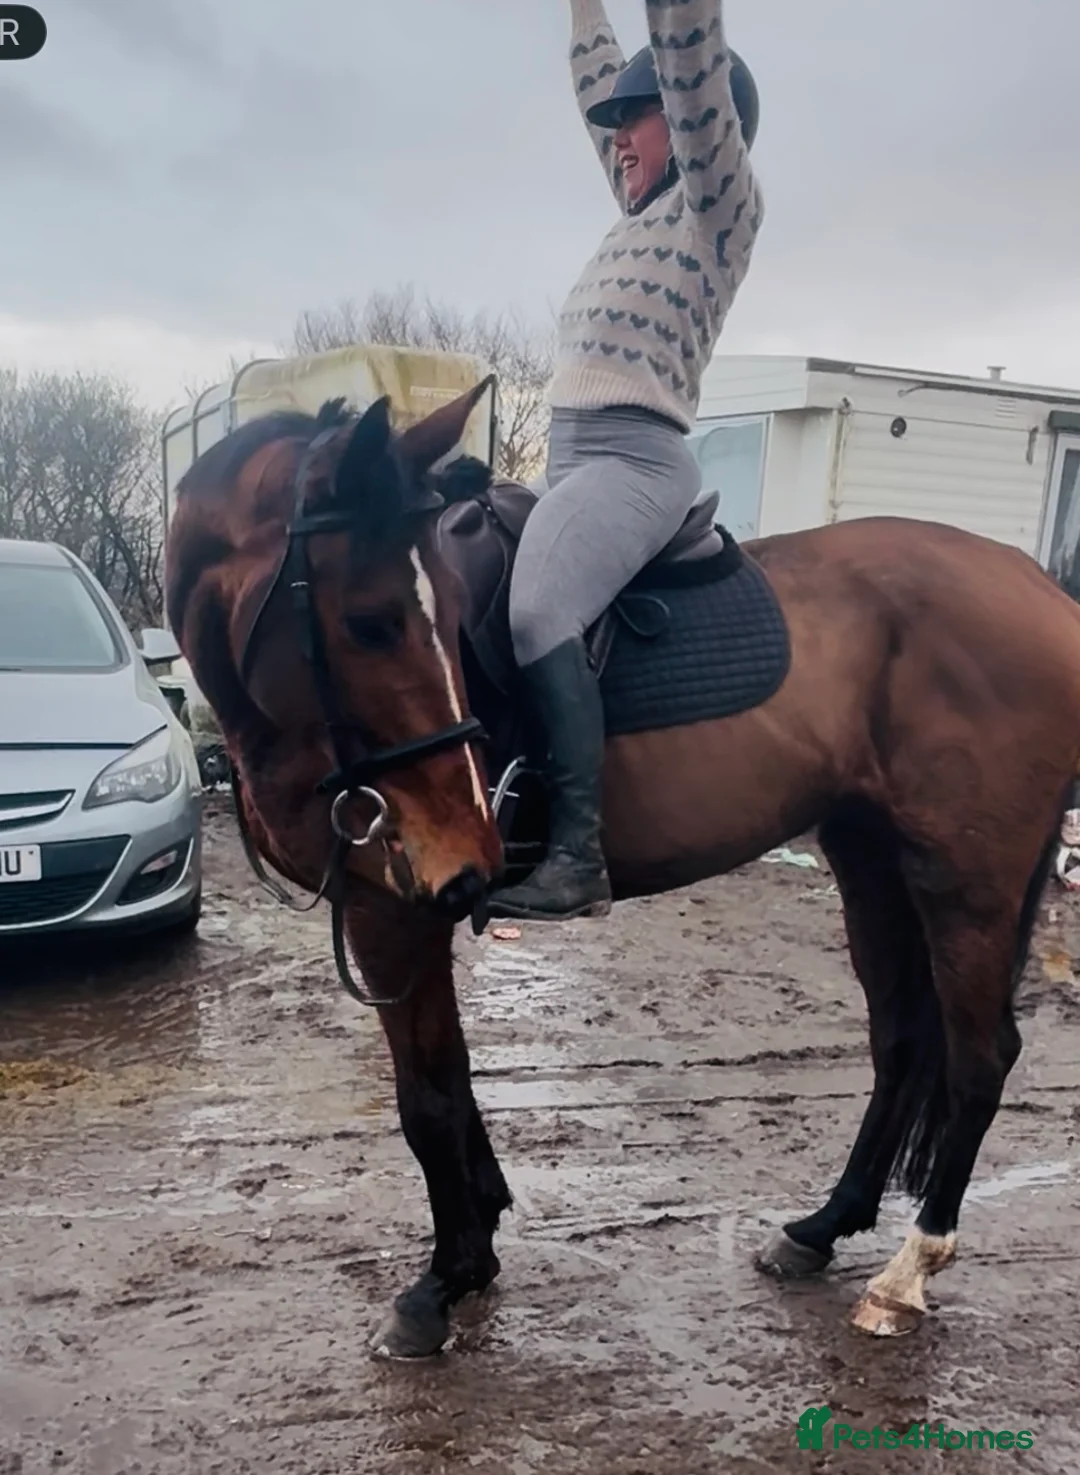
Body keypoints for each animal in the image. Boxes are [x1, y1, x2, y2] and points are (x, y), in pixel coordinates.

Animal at [165, 378, 1080, 1358]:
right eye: (369, 624)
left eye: (418, 614)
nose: (474, 845)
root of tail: (1045, 591)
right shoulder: (409, 908)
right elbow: (456, 1084)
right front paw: (480, 1233)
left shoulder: (395, 913)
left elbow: (429, 1102)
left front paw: (443, 1280)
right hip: (871, 858)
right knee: (903, 1041)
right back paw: (823, 1227)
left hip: (965, 881)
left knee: (980, 1058)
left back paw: (906, 1271)